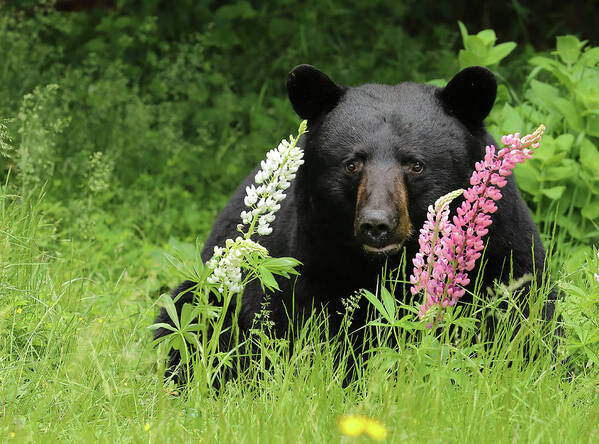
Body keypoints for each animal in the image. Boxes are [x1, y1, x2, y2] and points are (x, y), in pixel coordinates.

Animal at [155, 64, 552, 380]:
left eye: (416, 164)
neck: (386, 265)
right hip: (202, 291)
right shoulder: (305, 260)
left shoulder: (502, 250)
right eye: (352, 163)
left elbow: (525, 316)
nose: (377, 224)